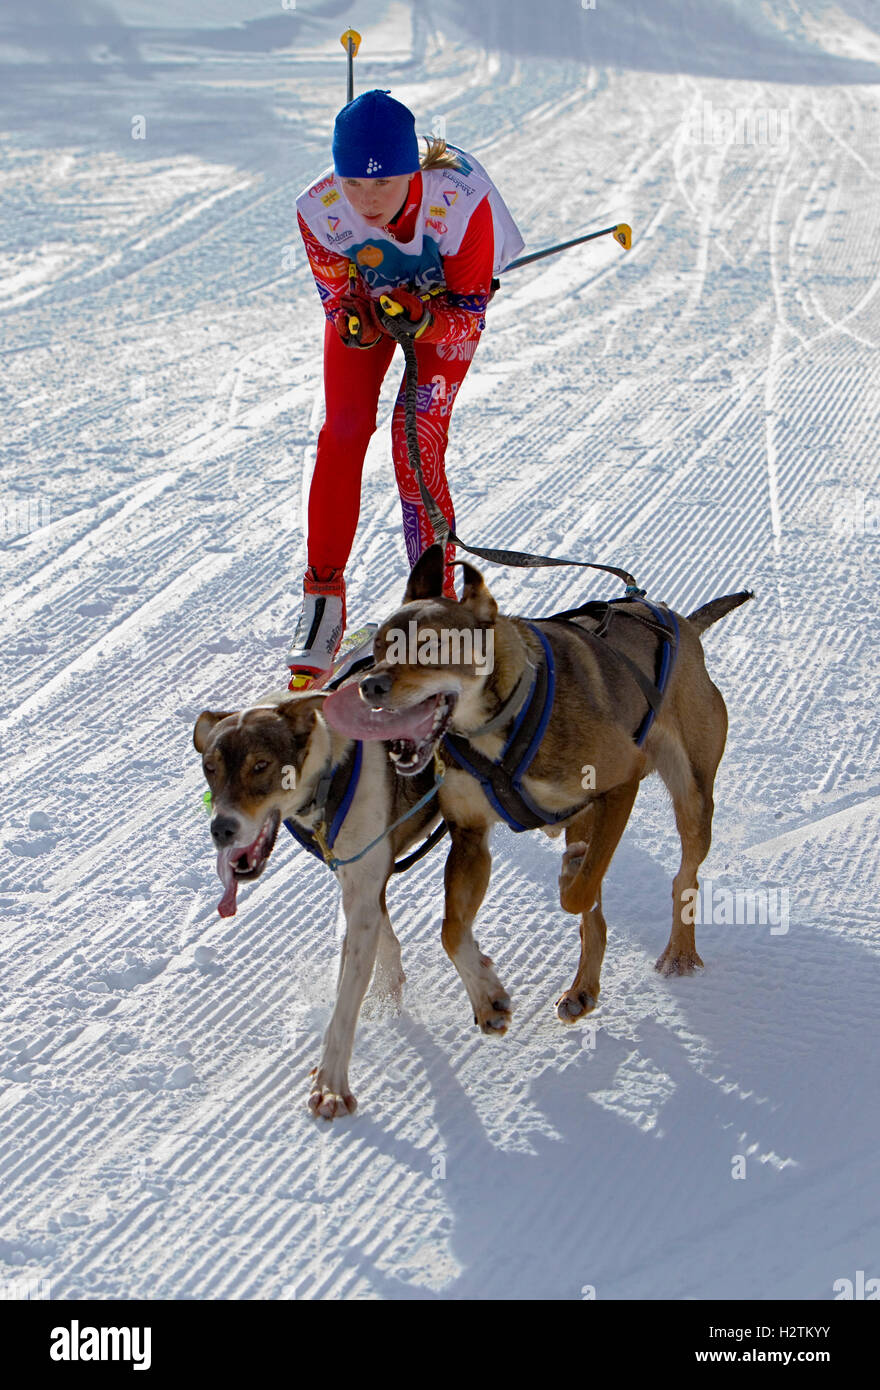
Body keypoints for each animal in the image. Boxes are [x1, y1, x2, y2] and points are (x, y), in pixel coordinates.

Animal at [322, 547, 750, 1039]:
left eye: (428, 646)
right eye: (376, 650)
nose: (369, 686)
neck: (494, 723)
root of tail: (679, 621)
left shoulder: (622, 782)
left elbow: (578, 893)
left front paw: (571, 879)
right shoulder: (469, 837)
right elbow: (452, 930)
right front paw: (486, 997)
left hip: (691, 795)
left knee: (680, 876)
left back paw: (678, 951)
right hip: (588, 815)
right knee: (595, 917)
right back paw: (583, 990)